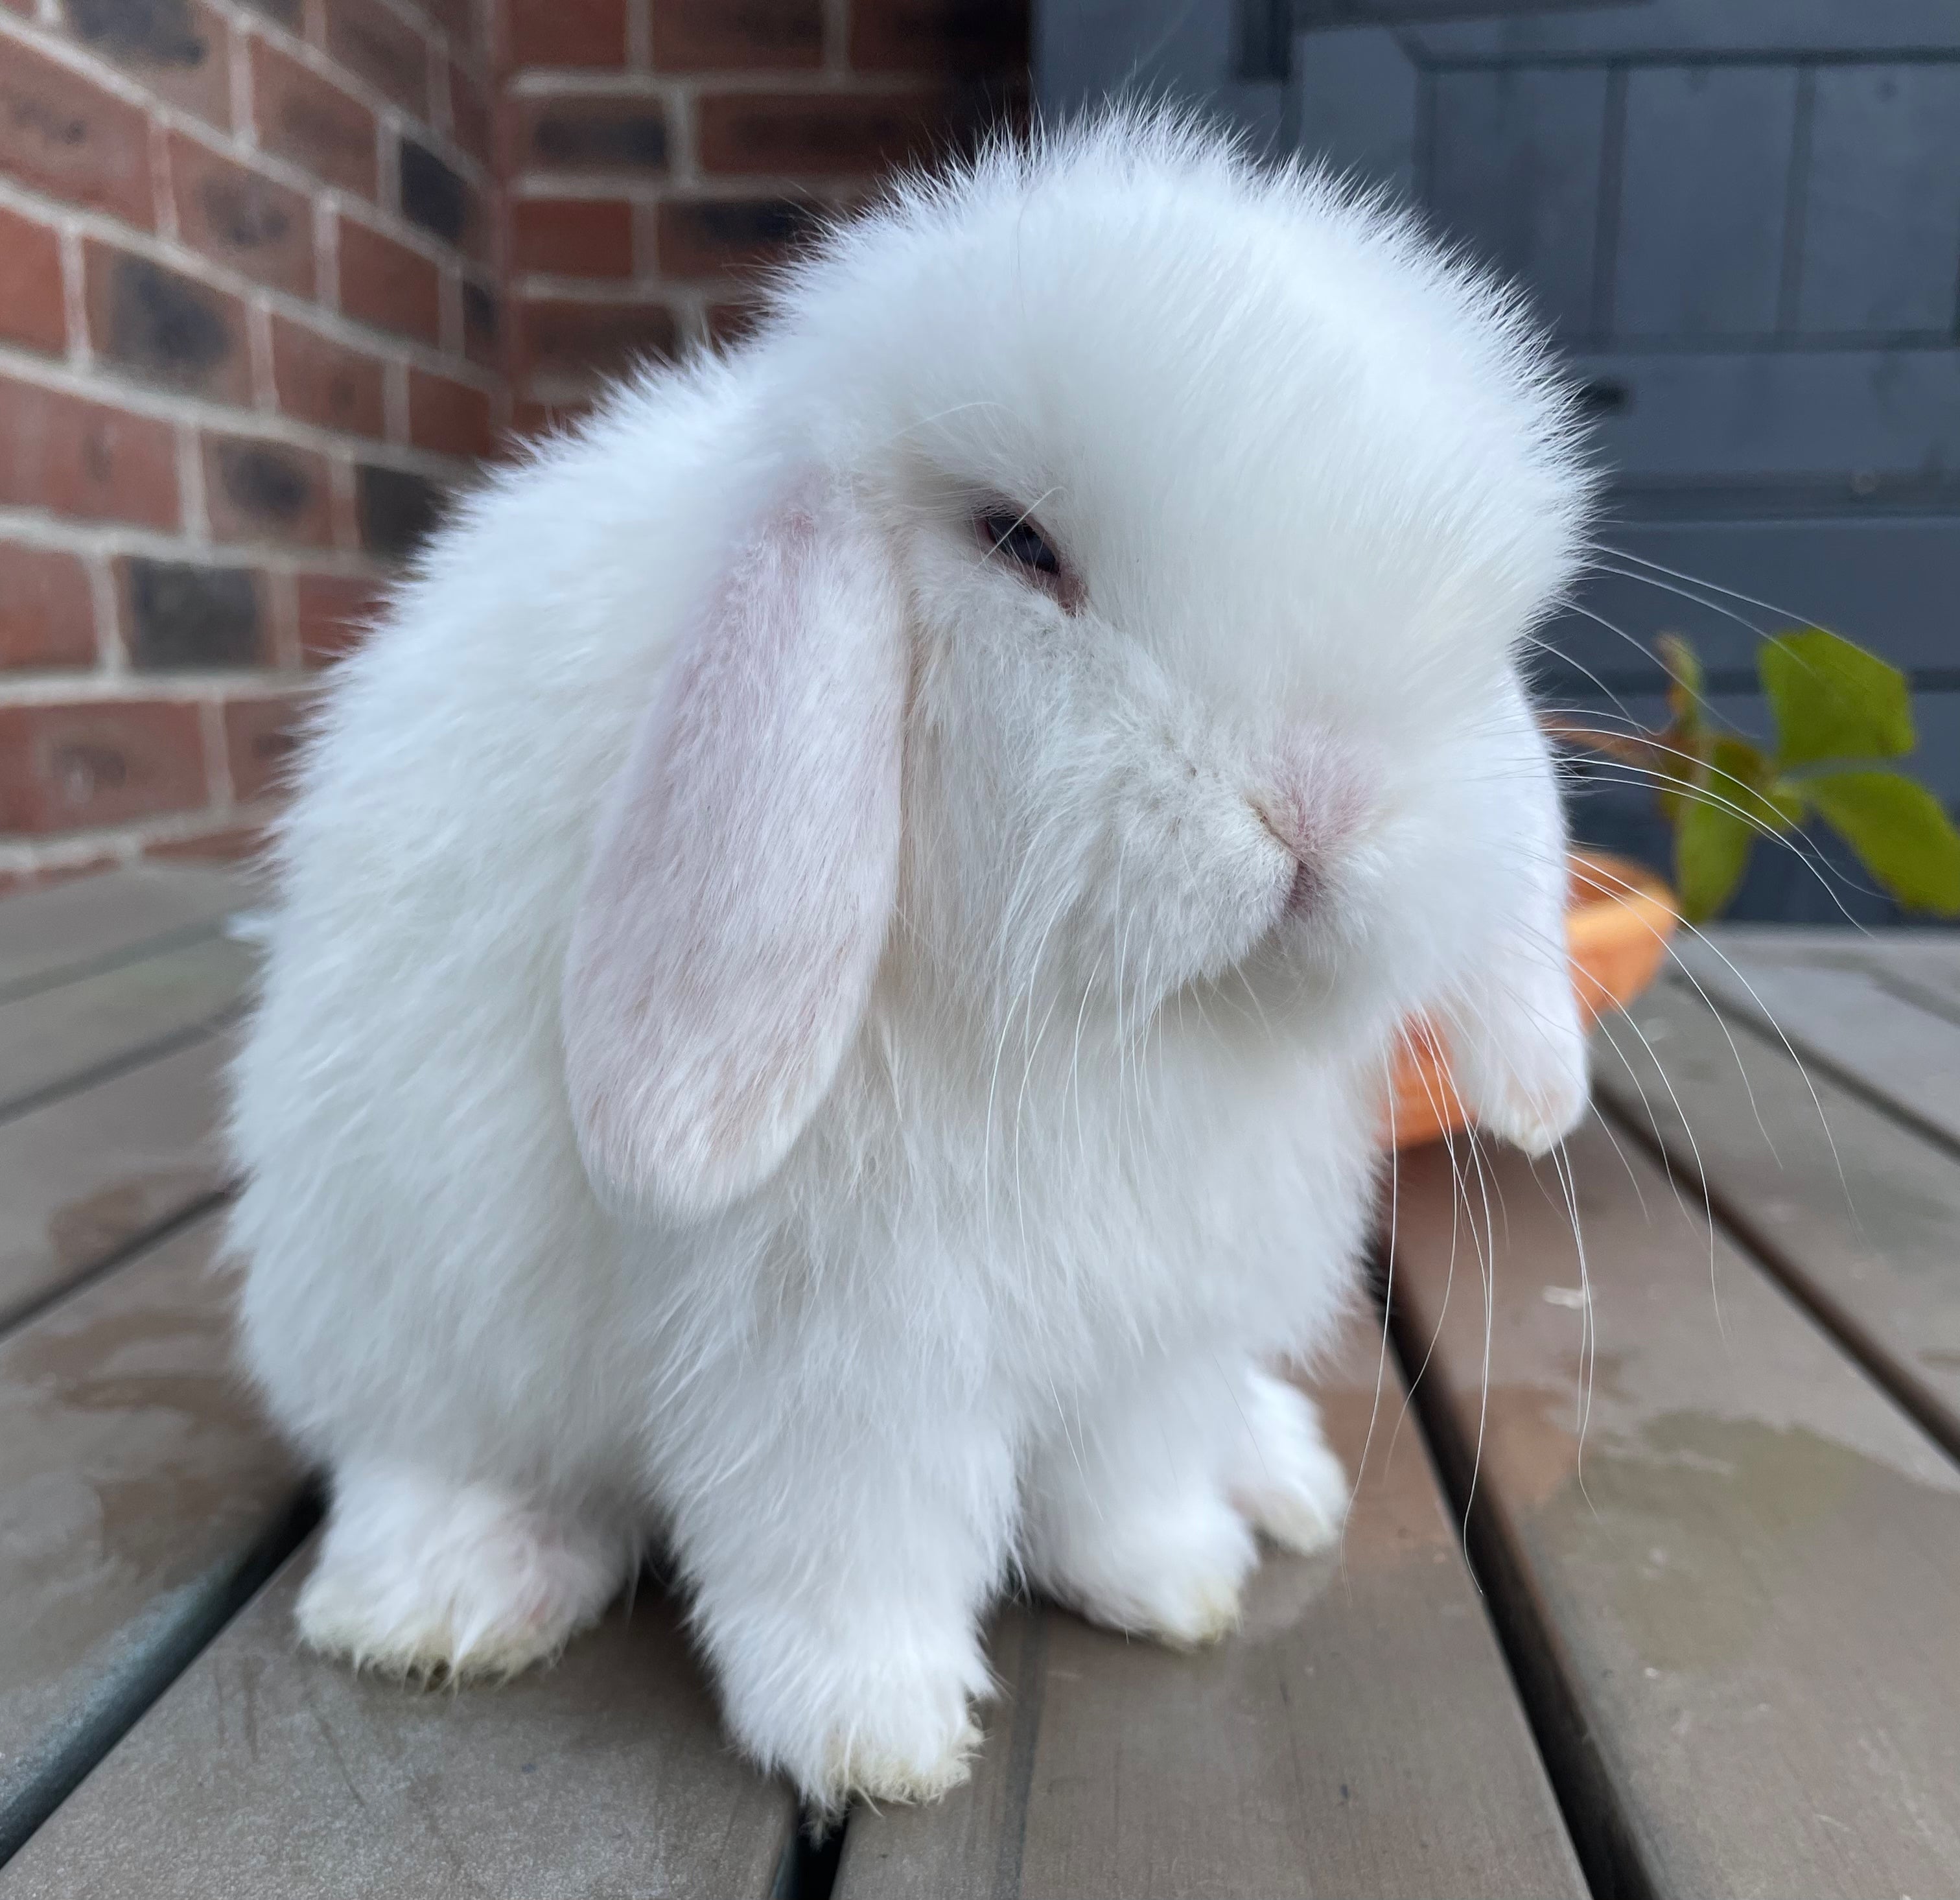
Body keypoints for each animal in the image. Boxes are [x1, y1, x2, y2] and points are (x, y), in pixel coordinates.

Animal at [229, 114, 1599, 1811]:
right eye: (1018, 544)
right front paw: (874, 1734)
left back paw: (1276, 1475)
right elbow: (850, 1552)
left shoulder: (1151, 1333)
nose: (1322, 802)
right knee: (416, 1447)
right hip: (387, 1296)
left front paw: (1174, 1584)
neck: (1124, 1036)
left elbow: (1130, 1478)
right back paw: (450, 1595)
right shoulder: (836, 1359)